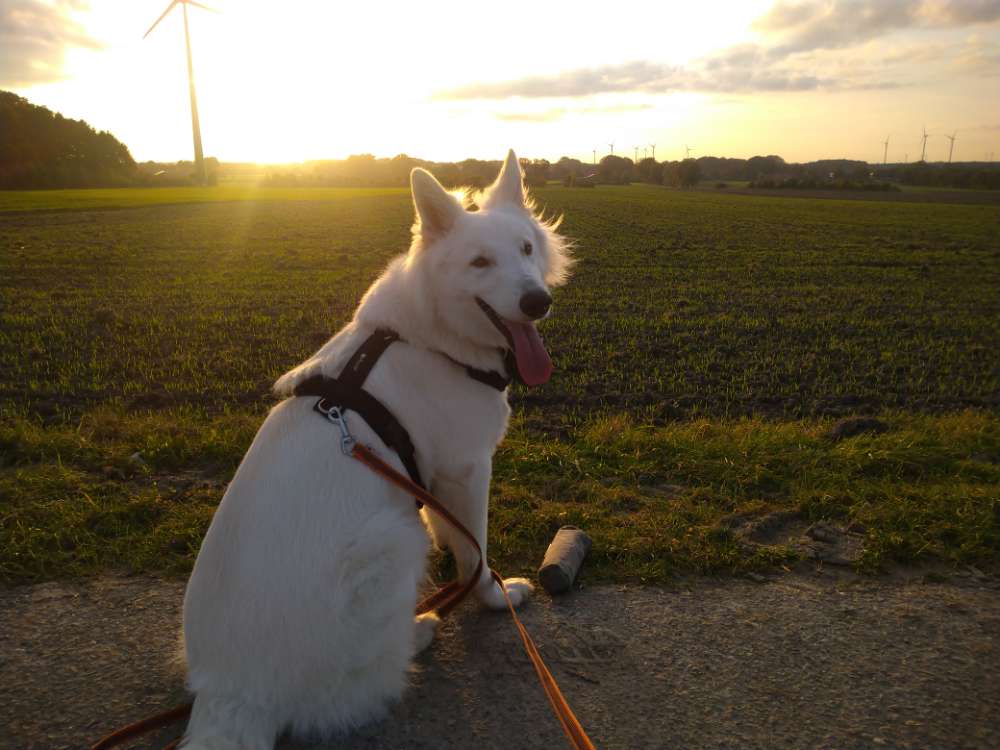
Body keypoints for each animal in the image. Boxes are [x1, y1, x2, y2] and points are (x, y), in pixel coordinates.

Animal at [178, 150, 572, 748]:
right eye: (480, 262)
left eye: (526, 249)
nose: (538, 302)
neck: (433, 337)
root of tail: (233, 694)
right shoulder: (468, 470)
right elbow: (475, 551)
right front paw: (490, 597)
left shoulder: (434, 478)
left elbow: (451, 530)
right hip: (393, 540)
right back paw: (420, 630)